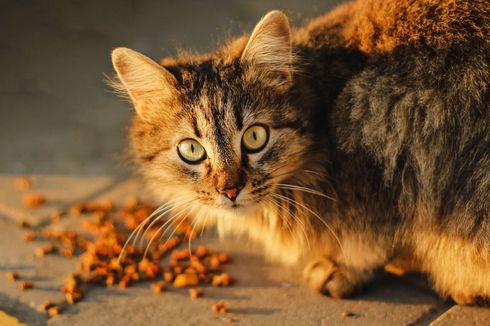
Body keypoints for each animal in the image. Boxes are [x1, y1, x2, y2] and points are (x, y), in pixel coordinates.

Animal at [111, 0, 490, 306]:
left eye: (255, 137)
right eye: (191, 149)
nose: (230, 190)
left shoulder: (381, 156)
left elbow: (368, 239)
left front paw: (343, 268)